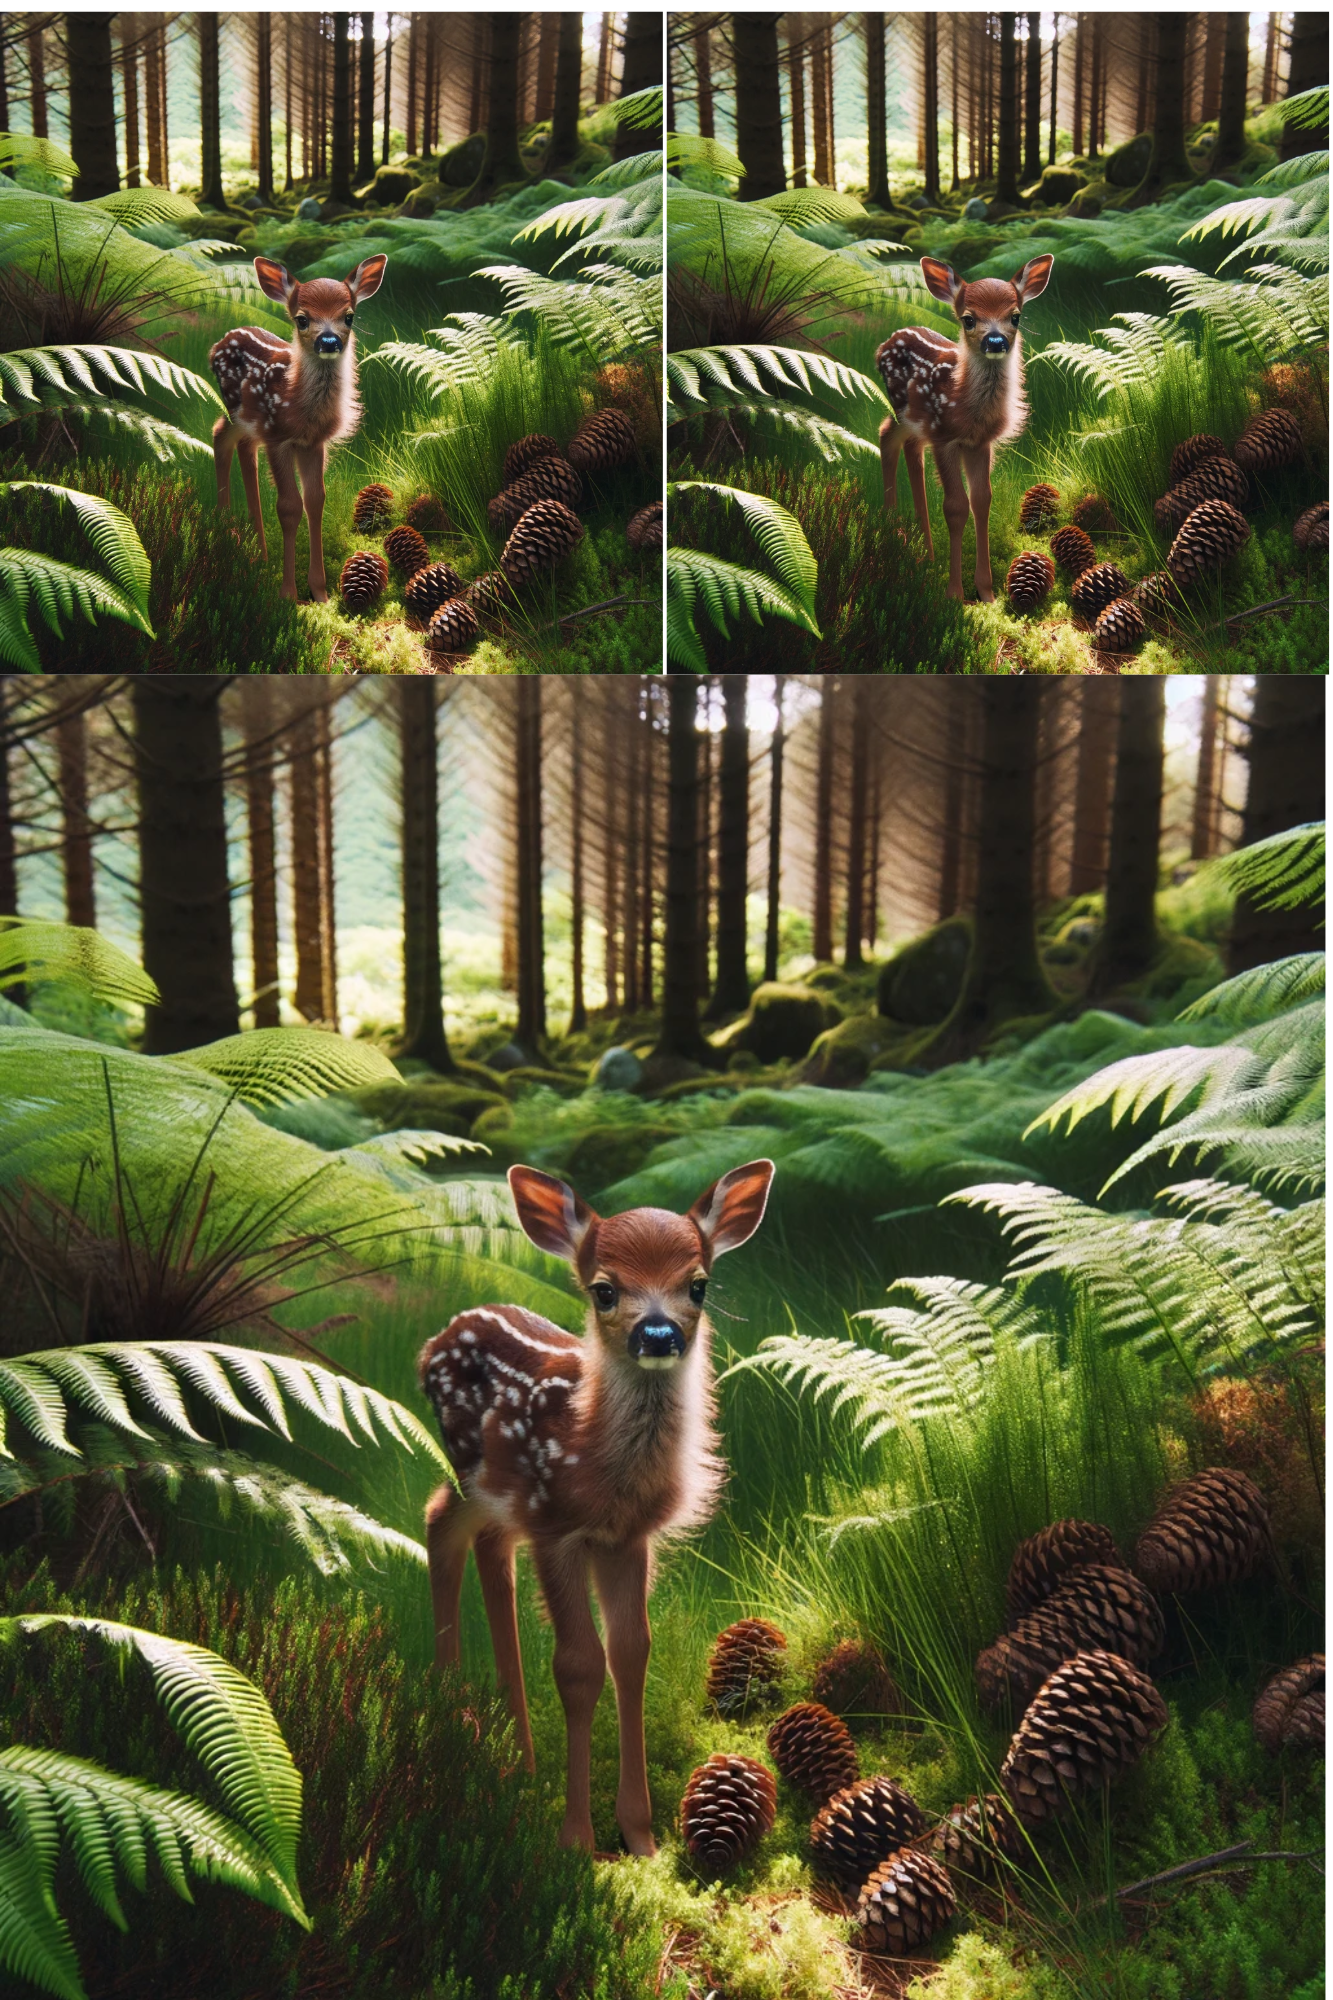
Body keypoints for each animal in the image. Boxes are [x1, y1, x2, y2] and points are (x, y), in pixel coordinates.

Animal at [209, 254, 387, 603]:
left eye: (349, 316)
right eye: (302, 319)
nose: (328, 340)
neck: (298, 405)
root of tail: (216, 345)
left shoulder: (313, 443)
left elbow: (315, 500)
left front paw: (320, 592)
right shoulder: (278, 437)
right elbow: (289, 507)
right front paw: (289, 595)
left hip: (249, 422)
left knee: (238, 444)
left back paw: (259, 555)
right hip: (239, 410)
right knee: (220, 434)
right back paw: (228, 538)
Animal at [418, 1158, 775, 1855]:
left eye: (698, 1285)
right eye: (605, 1291)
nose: (657, 1332)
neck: (598, 1463)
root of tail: (433, 1342)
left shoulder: (626, 1538)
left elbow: (631, 1653)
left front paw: (640, 1836)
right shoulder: (557, 1525)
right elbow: (579, 1666)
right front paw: (577, 1841)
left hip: (499, 1495)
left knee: (478, 1540)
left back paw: (518, 1762)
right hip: (478, 1472)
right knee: (441, 1521)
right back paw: (455, 1728)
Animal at [876, 253, 1054, 603]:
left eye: (1015, 316)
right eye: (969, 319)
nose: (995, 341)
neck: (965, 405)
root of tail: (883, 345)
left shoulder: (979, 443)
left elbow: (982, 501)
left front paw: (986, 592)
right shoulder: (945, 437)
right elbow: (955, 507)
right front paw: (955, 594)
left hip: (916, 422)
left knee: (906, 445)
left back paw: (926, 554)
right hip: (905, 410)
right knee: (886, 435)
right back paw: (894, 539)